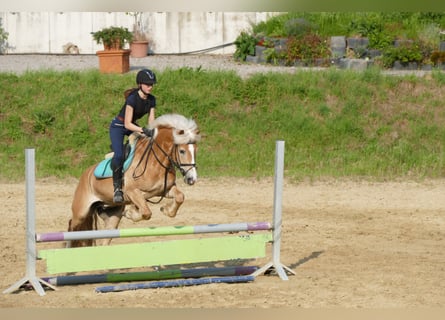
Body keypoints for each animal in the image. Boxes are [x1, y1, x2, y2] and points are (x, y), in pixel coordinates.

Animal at [67, 114, 201, 246]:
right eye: (182, 151)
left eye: (195, 150)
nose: (191, 179)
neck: (155, 161)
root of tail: (86, 174)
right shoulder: (132, 192)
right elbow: (146, 212)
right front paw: (131, 212)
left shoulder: (164, 190)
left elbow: (179, 197)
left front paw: (166, 210)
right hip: (81, 212)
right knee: (72, 225)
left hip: (111, 214)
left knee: (104, 239)